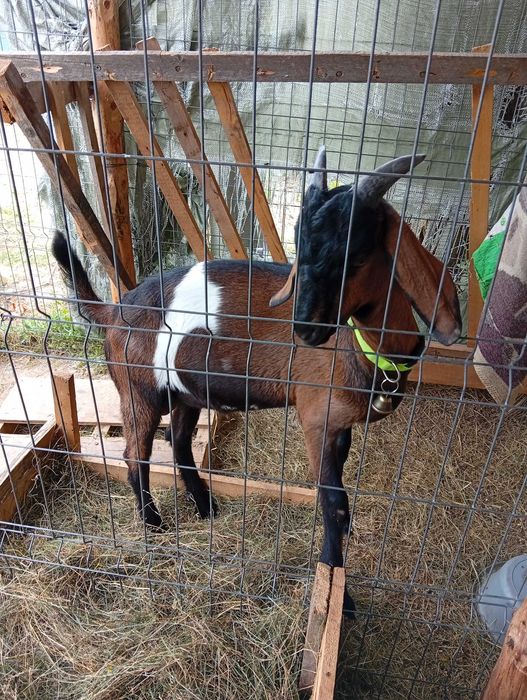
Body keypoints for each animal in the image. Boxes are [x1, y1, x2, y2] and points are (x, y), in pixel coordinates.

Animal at [52, 149, 461, 612]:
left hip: (186, 392)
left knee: (179, 444)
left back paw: (205, 505)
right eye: (301, 245)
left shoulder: (341, 426)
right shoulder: (316, 418)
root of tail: (115, 310)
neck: (365, 350)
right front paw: (340, 594)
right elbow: (333, 504)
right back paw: (153, 524)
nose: (306, 329)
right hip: (139, 391)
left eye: (357, 254)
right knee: (135, 455)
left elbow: (341, 500)